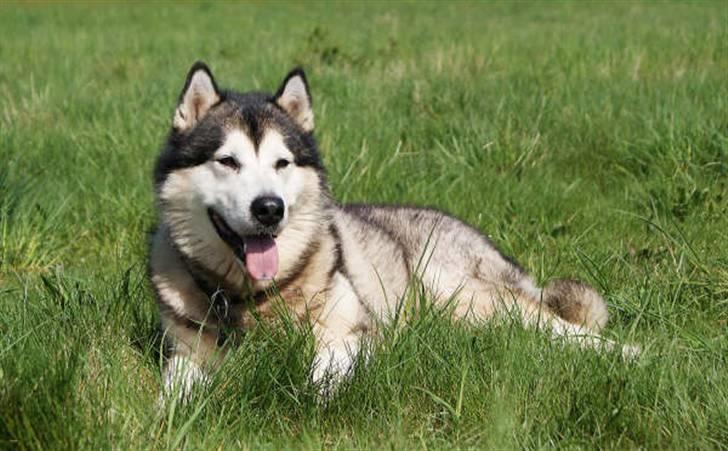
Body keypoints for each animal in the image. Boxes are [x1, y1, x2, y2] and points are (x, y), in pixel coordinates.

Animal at [149, 61, 636, 400]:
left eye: (281, 163)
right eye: (227, 161)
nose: (270, 208)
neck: (252, 299)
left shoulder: (355, 331)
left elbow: (325, 368)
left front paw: (315, 394)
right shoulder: (187, 350)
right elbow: (177, 383)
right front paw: (174, 412)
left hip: (466, 293)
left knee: (564, 326)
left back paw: (632, 354)